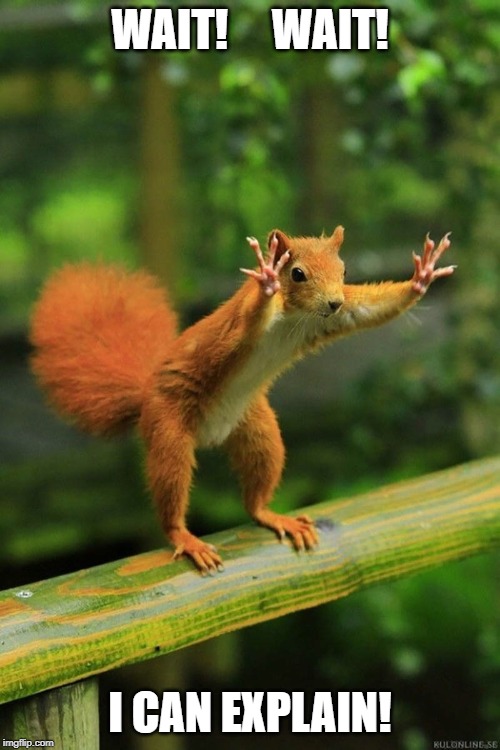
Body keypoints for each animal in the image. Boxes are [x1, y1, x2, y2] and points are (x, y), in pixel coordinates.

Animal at [30, 227, 454, 572]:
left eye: (345, 271)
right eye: (297, 273)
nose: (333, 301)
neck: (294, 316)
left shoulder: (335, 317)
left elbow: (368, 309)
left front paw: (422, 277)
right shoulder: (238, 327)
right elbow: (248, 321)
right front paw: (266, 278)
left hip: (257, 429)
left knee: (255, 492)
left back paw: (271, 515)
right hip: (168, 429)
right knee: (170, 487)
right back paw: (184, 536)